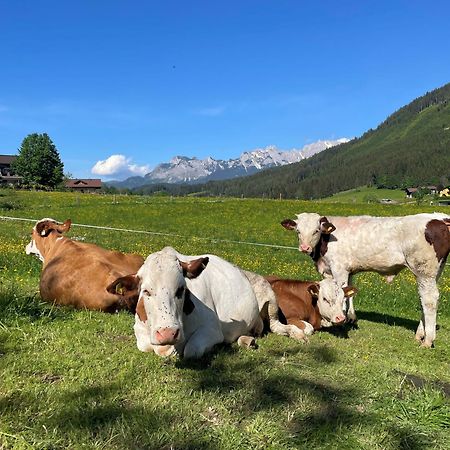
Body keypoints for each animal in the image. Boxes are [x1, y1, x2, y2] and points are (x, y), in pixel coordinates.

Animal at [107, 246, 308, 358]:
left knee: (276, 326)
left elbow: (191, 350)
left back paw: (297, 333)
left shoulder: (212, 329)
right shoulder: (140, 332)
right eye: (146, 291)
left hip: (269, 297)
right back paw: (247, 339)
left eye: (181, 289)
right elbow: (153, 347)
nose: (167, 333)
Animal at [282, 212, 450, 348]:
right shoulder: (347, 271)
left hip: (424, 271)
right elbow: (349, 292)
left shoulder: (339, 269)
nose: (304, 247)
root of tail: (440, 218)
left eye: (316, 230)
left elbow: (343, 294)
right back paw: (420, 334)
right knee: (423, 299)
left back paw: (427, 340)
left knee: (429, 300)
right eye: (298, 231)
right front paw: (351, 318)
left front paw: (342, 322)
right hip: (434, 273)